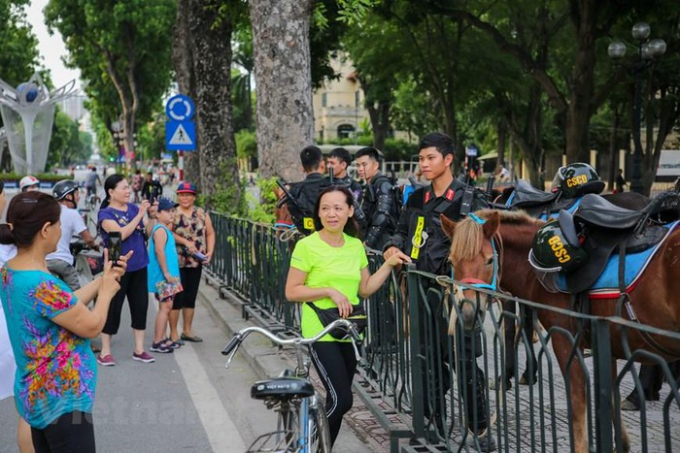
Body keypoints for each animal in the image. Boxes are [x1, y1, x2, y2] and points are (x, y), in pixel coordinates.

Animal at [438, 210, 680, 452]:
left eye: (489, 260)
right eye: (451, 261)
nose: (468, 313)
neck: (536, 268)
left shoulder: (566, 340)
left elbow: (578, 404)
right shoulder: (607, 344)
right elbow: (611, 397)